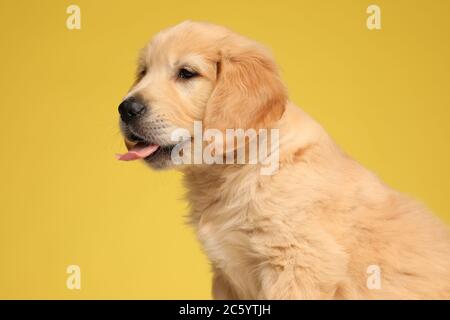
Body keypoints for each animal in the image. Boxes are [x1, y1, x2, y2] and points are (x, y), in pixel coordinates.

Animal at [117, 21, 450, 298]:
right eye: (143, 72)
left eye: (186, 73)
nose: (125, 109)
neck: (239, 170)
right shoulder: (226, 275)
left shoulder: (299, 264)